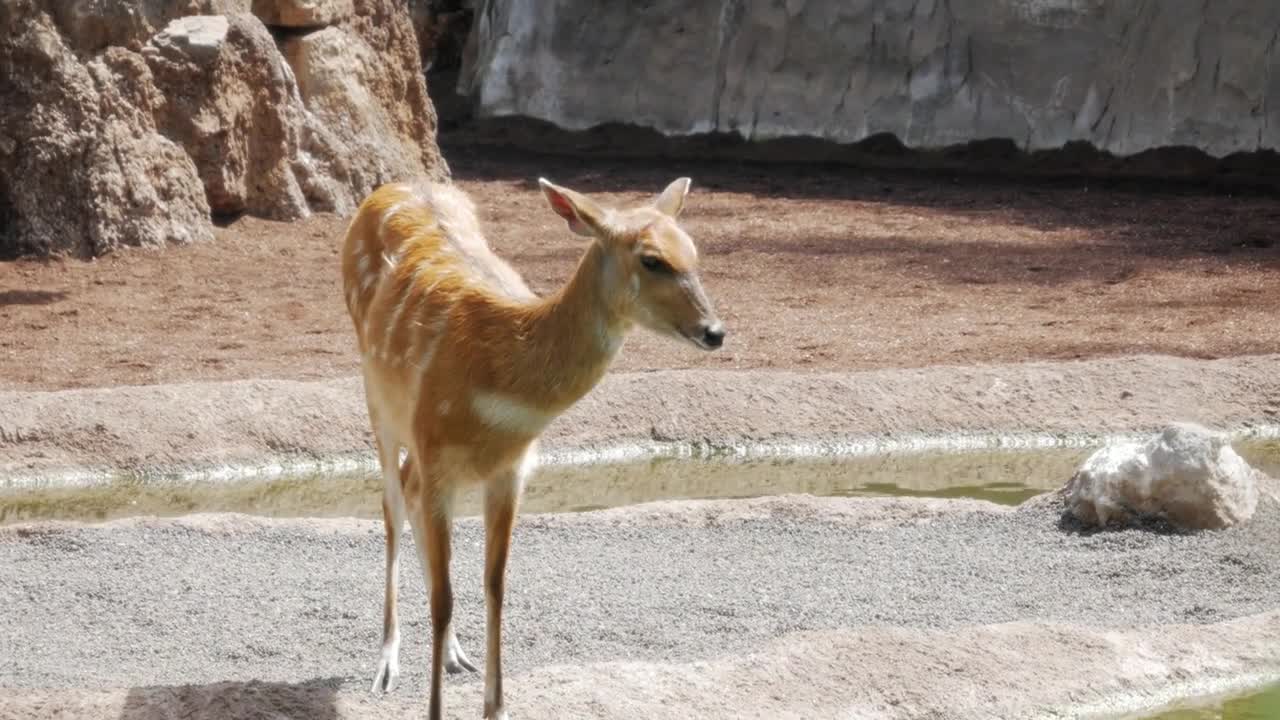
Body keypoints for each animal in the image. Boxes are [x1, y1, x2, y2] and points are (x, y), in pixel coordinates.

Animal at [340, 175, 727, 717]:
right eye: (652, 260)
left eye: (693, 250)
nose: (715, 332)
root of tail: (392, 186)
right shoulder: (437, 452)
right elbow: (444, 598)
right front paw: (435, 709)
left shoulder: (512, 468)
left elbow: (495, 584)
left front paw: (496, 706)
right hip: (377, 393)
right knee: (391, 503)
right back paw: (387, 664)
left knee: (407, 492)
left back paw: (457, 656)